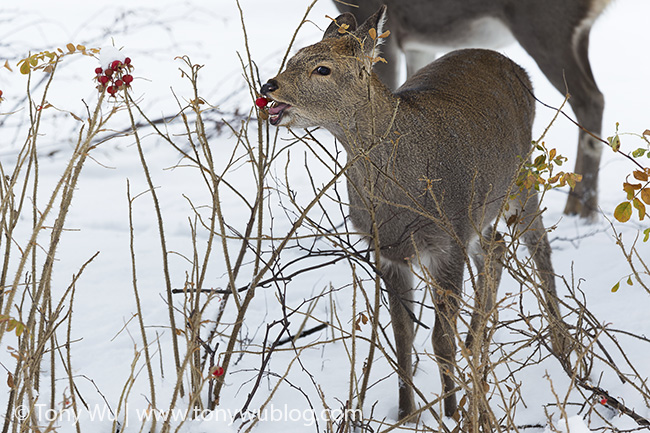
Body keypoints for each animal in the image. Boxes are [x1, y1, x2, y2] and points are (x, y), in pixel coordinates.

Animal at [260, 5, 564, 420]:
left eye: (322, 68)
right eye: (293, 58)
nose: (268, 86)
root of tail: (514, 65)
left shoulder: (447, 240)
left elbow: (440, 338)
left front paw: (451, 412)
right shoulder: (390, 251)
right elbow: (403, 337)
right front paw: (406, 414)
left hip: (519, 175)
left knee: (538, 243)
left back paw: (563, 345)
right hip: (478, 209)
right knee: (496, 245)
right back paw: (477, 342)